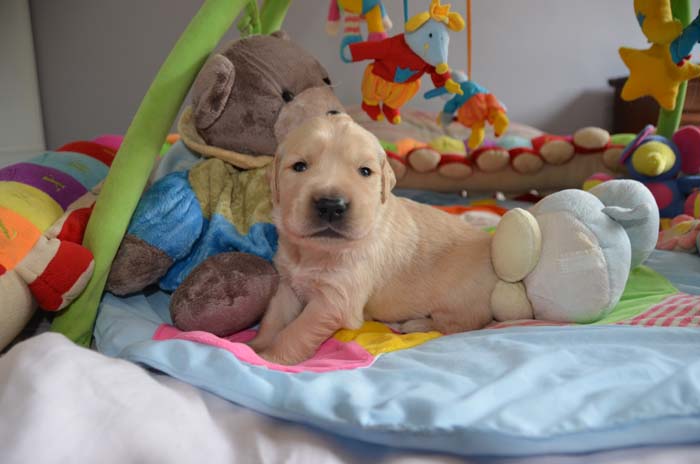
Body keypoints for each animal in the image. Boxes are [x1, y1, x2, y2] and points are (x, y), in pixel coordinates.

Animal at [248, 113, 498, 365]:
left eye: (365, 171)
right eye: (299, 166)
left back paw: (416, 323)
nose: (331, 205)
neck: (316, 251)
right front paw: (255, 344)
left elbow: (296, 330)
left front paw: (271, 358)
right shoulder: (288, 283)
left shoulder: (335, 300)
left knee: (458, 324)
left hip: (459, 300)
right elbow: (274, 317)